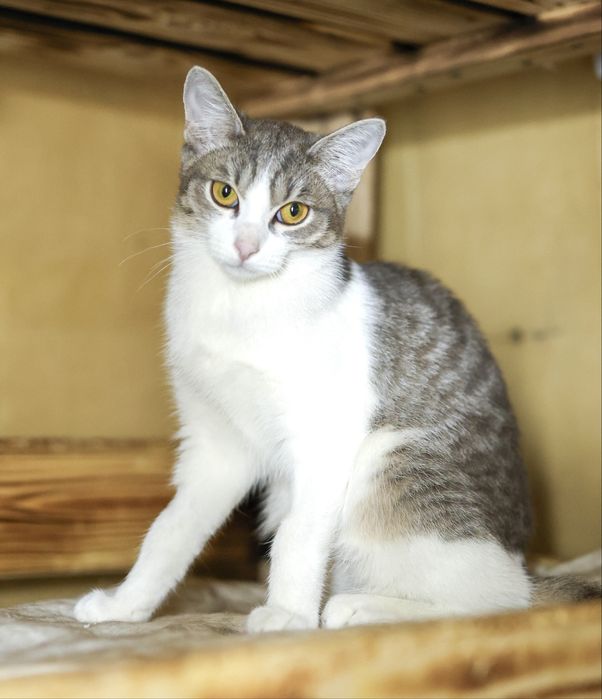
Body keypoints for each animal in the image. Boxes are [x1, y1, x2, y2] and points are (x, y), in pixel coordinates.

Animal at [74, 66, 597, 632]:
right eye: (224, 192)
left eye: (293, 212)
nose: (246, 246)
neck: (241, 309)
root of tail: (521, 559)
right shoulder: (215, 442)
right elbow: (171, 527)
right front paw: (125, 605)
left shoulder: (326, 434)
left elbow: (298, 533)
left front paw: (287, 613)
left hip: (389, 463)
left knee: (497, 599)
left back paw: (364, 605)